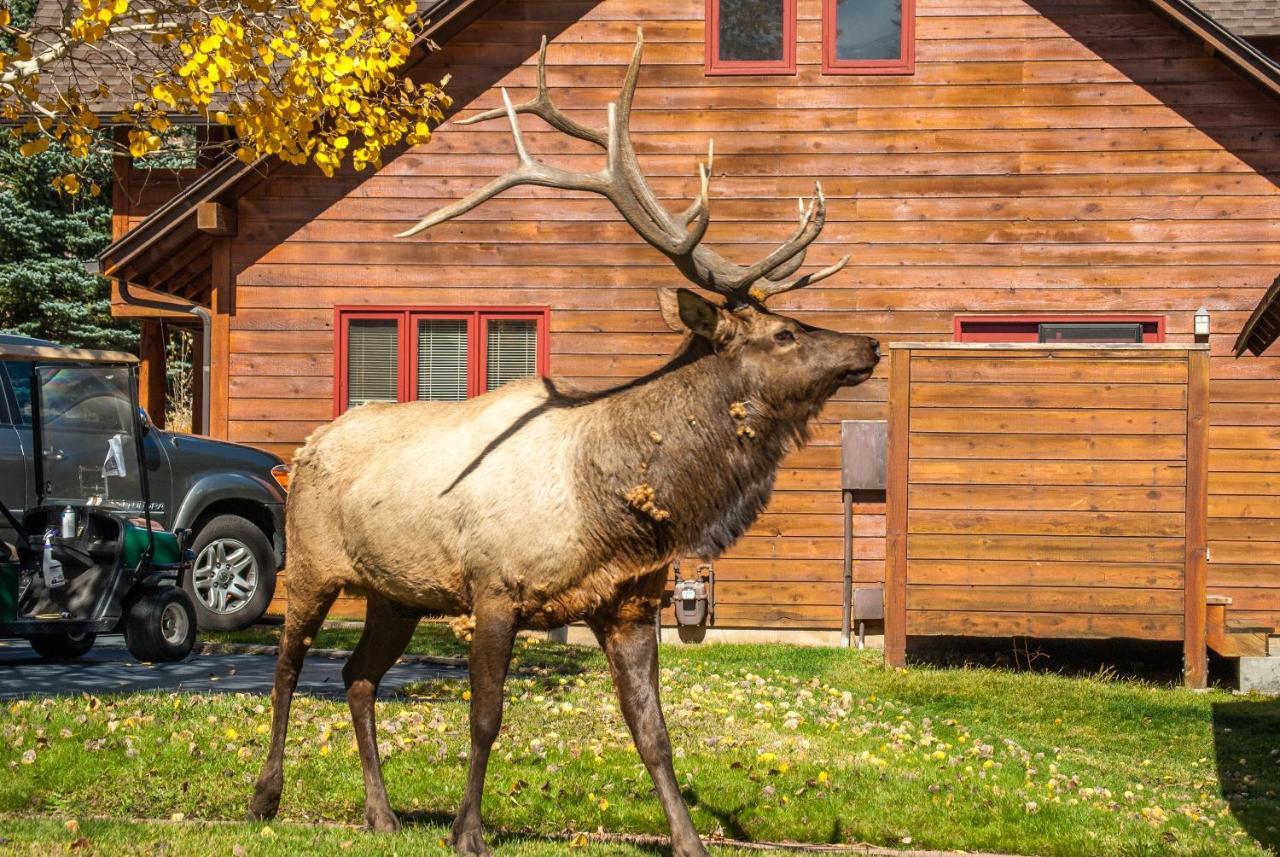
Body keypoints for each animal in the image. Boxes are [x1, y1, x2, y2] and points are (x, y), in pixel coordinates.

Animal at [252, 28, 880, 857]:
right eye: (782, 333)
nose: (868, 343)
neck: (609, 503)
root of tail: (307, 444)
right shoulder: (493, 585)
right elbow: (485, 717)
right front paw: (468, 831)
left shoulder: (627, 602)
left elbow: (654, 733)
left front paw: (688, 839)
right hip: (313, 565)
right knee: (289, 665)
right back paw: (265, 795)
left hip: (397, 591)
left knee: (358, 674)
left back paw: (380, 813)